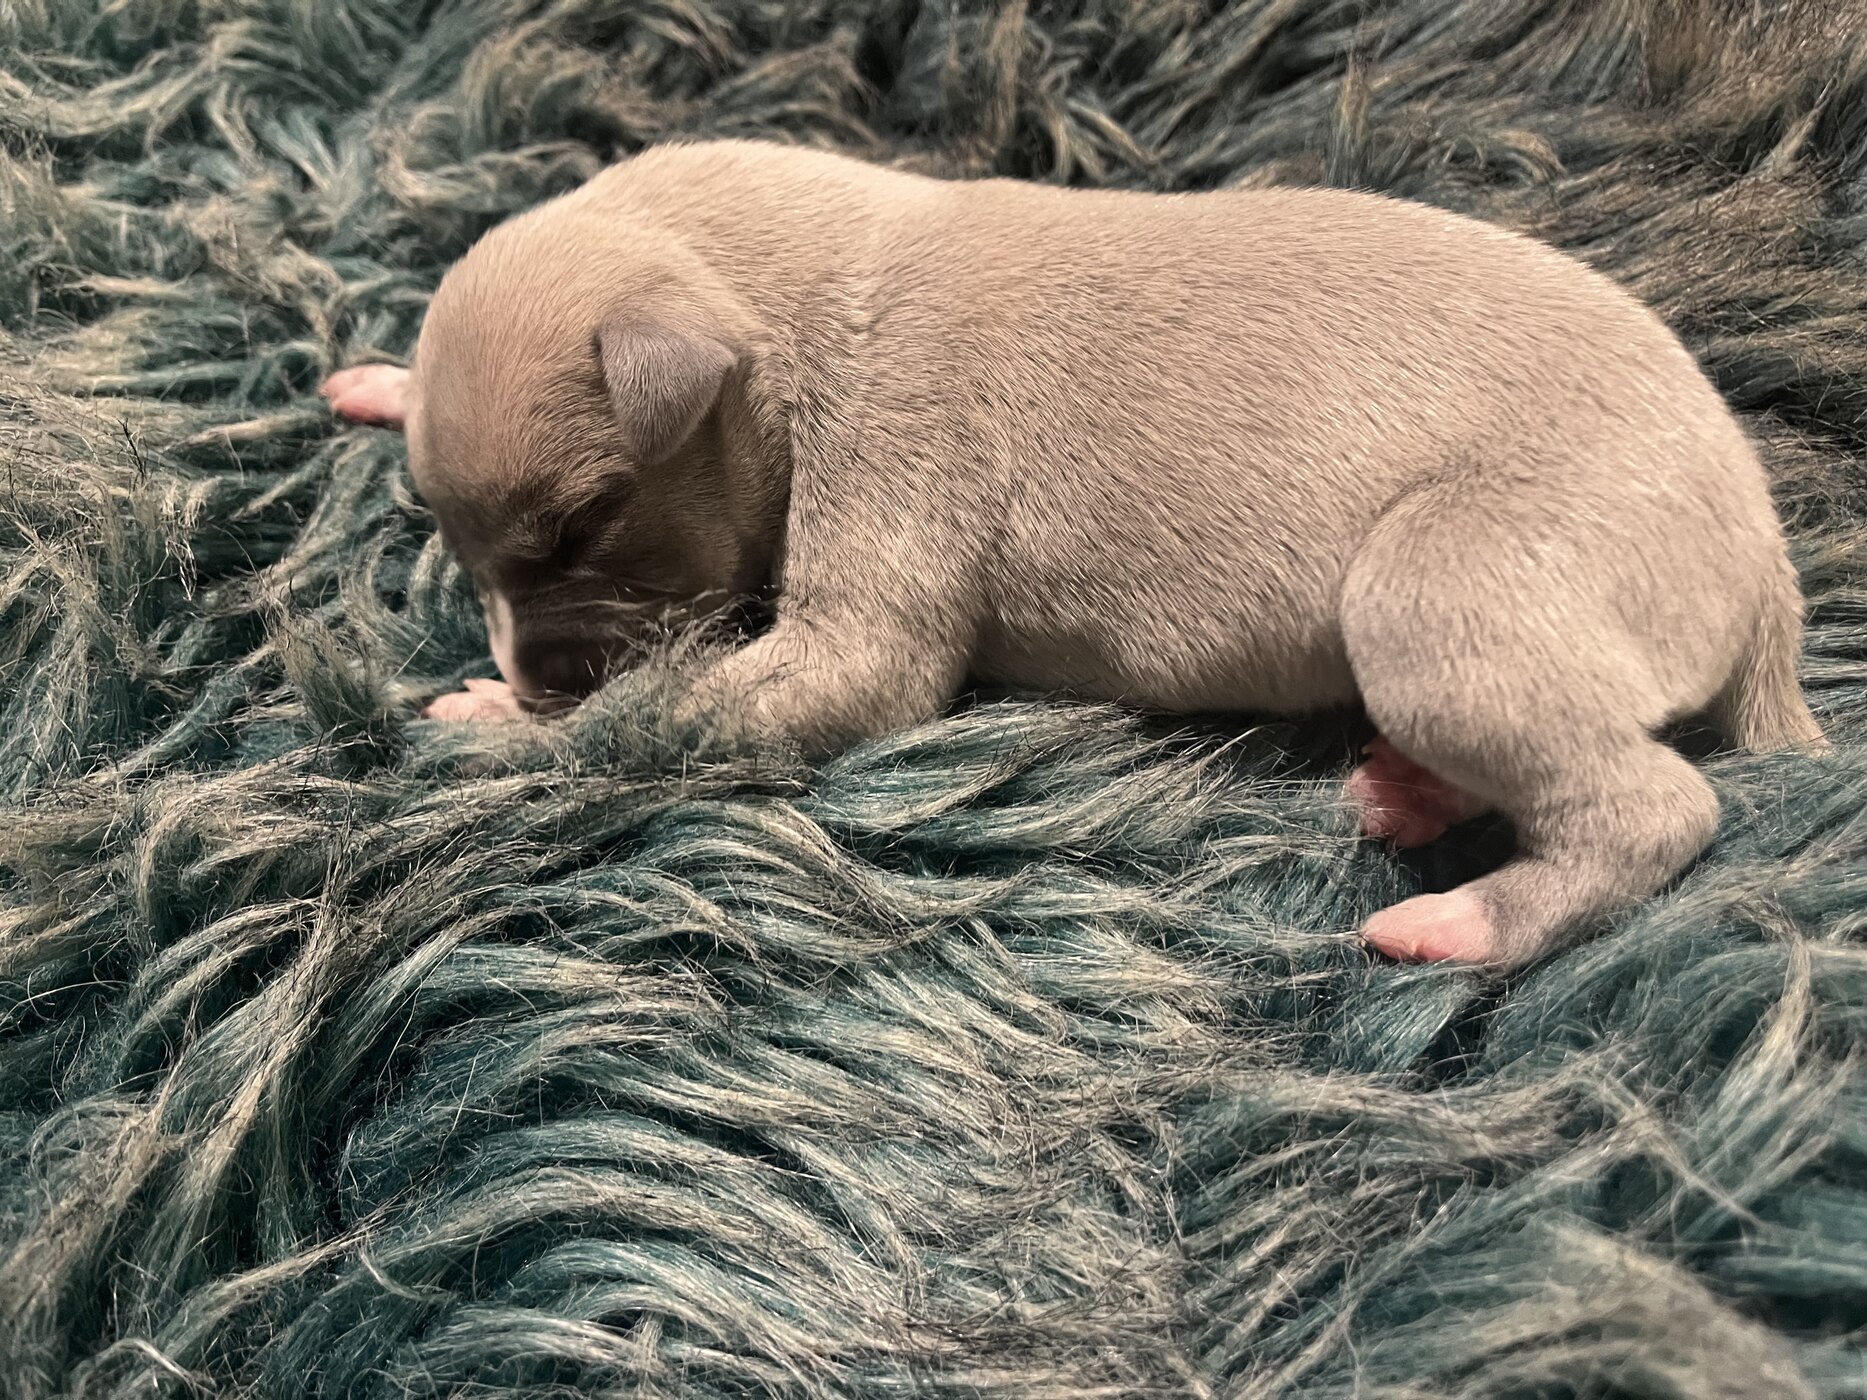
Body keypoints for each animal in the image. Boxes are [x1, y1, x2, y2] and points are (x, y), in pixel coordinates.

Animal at [321, 138, 1824, 968]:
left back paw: (1461, 919)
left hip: (1442, 590)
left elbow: (691, 699)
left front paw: (495, 724)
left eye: (579, 527)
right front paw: (383, 382)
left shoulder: (884, 497)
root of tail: (1764, 564)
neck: (800, 292)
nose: (534, 674)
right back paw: (1409, 796)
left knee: (1649, 806)